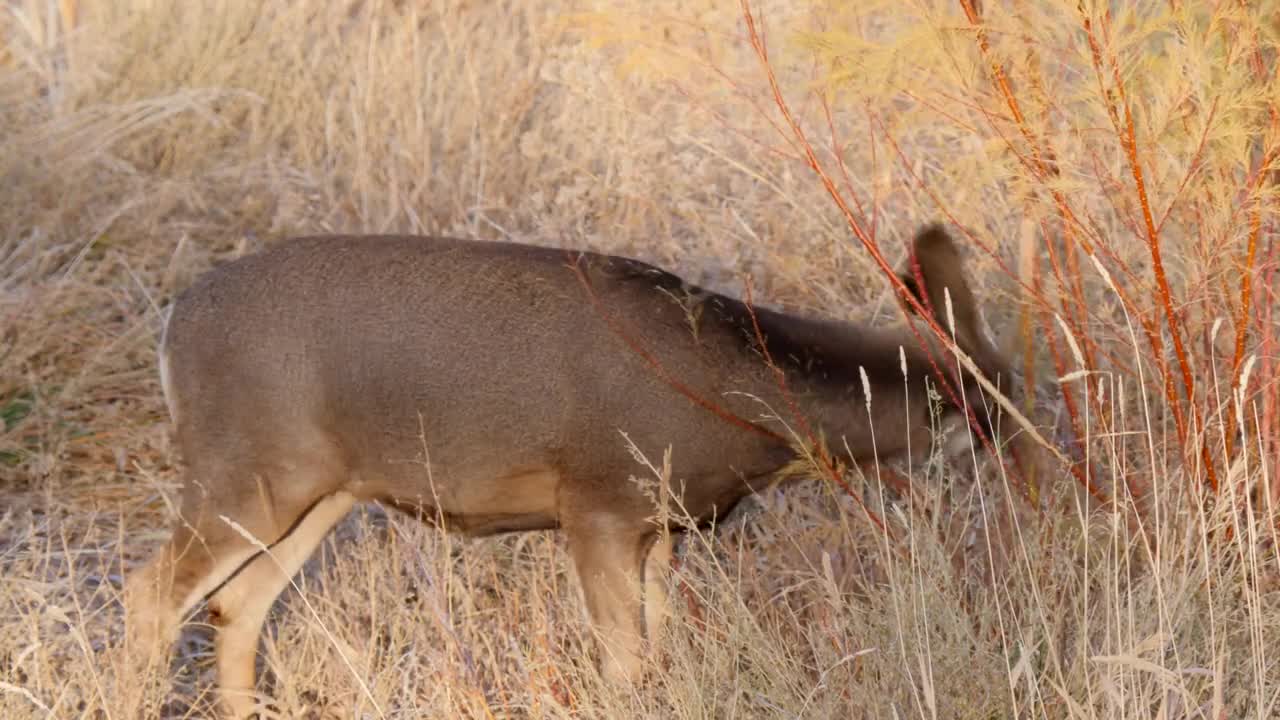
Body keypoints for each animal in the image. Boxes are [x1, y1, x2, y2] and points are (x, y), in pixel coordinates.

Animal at [122, 222, 1018, 712]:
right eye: (995, 404)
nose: (1031, 457)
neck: (737, 389)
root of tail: (171, 326)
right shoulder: (599, 507)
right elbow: (625, 667)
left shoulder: (664, 526)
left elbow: (662, 652)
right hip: (243, 468)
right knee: (152, 594)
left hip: (320, 492)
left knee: (236, 607)